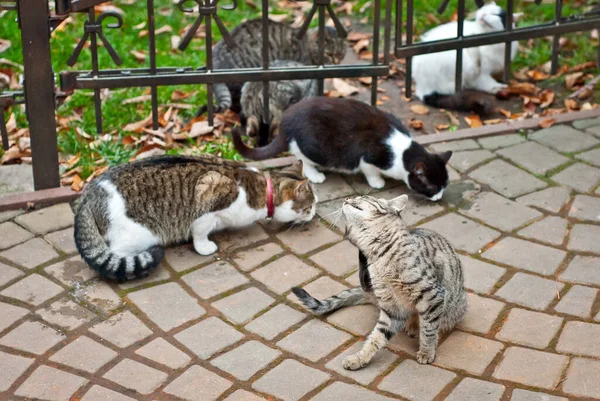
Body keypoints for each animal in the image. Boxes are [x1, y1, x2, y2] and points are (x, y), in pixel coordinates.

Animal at [73, 154, 316, 282]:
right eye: (309, 207)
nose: (314, 213)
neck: (262, 189)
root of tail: (89, 195)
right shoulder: (208, 197)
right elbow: (200, 232)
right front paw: (205, 247)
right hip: (138, 236)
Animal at [232, 97, 452, 200]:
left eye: (445, 186)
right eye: (433, 188)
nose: (439, 197)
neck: (402, 152)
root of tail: (286, 122)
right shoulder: (369, 158)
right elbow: (370, 171)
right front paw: (377, 182)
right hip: (314, 146)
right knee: (302, 158)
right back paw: (315, 175)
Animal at [292, 195, 466, 368]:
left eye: (362, 197)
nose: (346, 199)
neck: (378, 256)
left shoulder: (433, 295)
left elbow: (429, 329)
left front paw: (426, 351)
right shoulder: (393, 308)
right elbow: (377, 337)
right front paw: (360, 358)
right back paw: (412, 324)